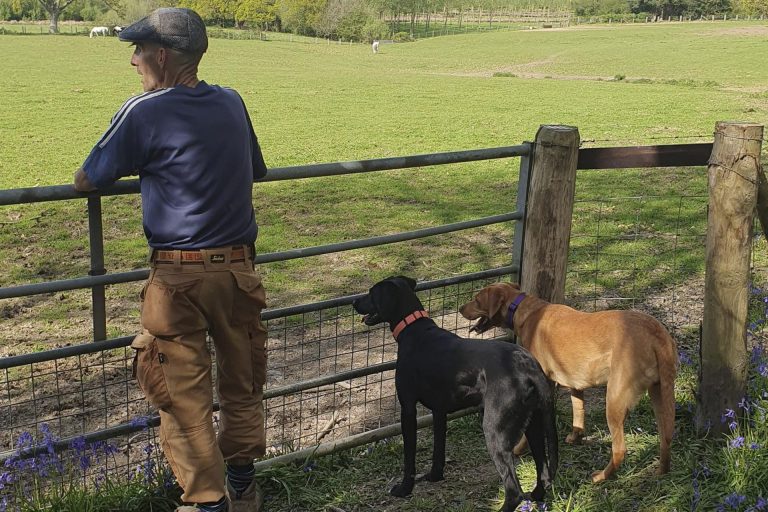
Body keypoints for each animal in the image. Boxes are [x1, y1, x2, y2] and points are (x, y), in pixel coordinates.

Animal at [354, 278, 560, 510]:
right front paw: (435, 476)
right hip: (534, 424)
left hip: (495, 431)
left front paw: (404, 489)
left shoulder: (408, 409)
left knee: (514, 491)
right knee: (544, 473)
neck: (413, 328)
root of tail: (529, 367)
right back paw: (537, 497)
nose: (353, 302)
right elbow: (438, 449)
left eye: (371, 293)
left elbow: (409, 457)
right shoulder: (439, 411)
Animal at [460, 282, 676, 482]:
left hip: (614, 402)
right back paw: (661, 471)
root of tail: (657, 334)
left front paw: (520, 448)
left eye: (477, 300)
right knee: (666, 438)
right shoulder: (576, 385)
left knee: (620, 450)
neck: (523, 309)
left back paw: (601, 477)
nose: (461, 308)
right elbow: (578, 413)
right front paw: (575, 437)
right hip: (659, 397)